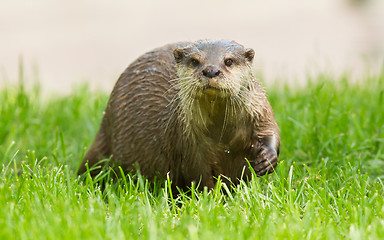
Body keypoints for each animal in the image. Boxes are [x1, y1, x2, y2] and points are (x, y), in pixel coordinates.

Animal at [78, 39, 280, 189]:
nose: (211, 70)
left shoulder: (260, 111)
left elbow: (271, 131)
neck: (222, 135)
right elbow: (198, 177)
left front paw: (267, 159)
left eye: (229, 61)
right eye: (195, 61)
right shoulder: (188, 143)